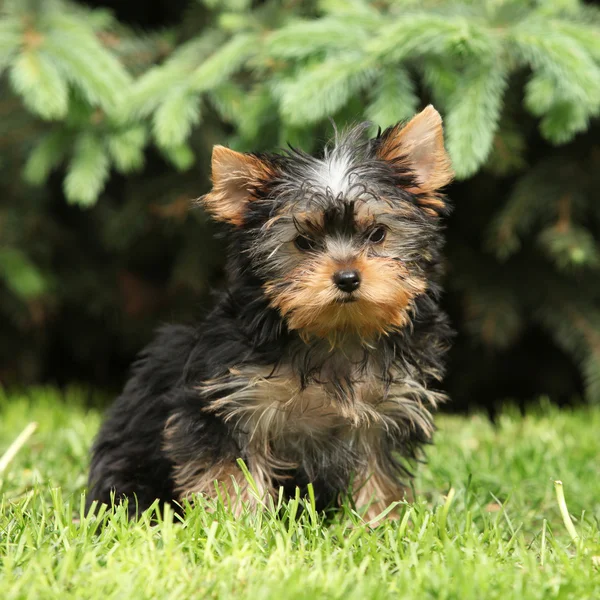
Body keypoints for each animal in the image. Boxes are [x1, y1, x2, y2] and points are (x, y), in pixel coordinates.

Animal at [86, 106, 452, 520]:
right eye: (303, 242)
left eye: (377, 234)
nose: (347, 278)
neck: (336, 333)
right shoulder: (230, 402)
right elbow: (230, 472)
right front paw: (235, 522)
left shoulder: (384, 412)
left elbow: (378, 472)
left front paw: (378, 520)